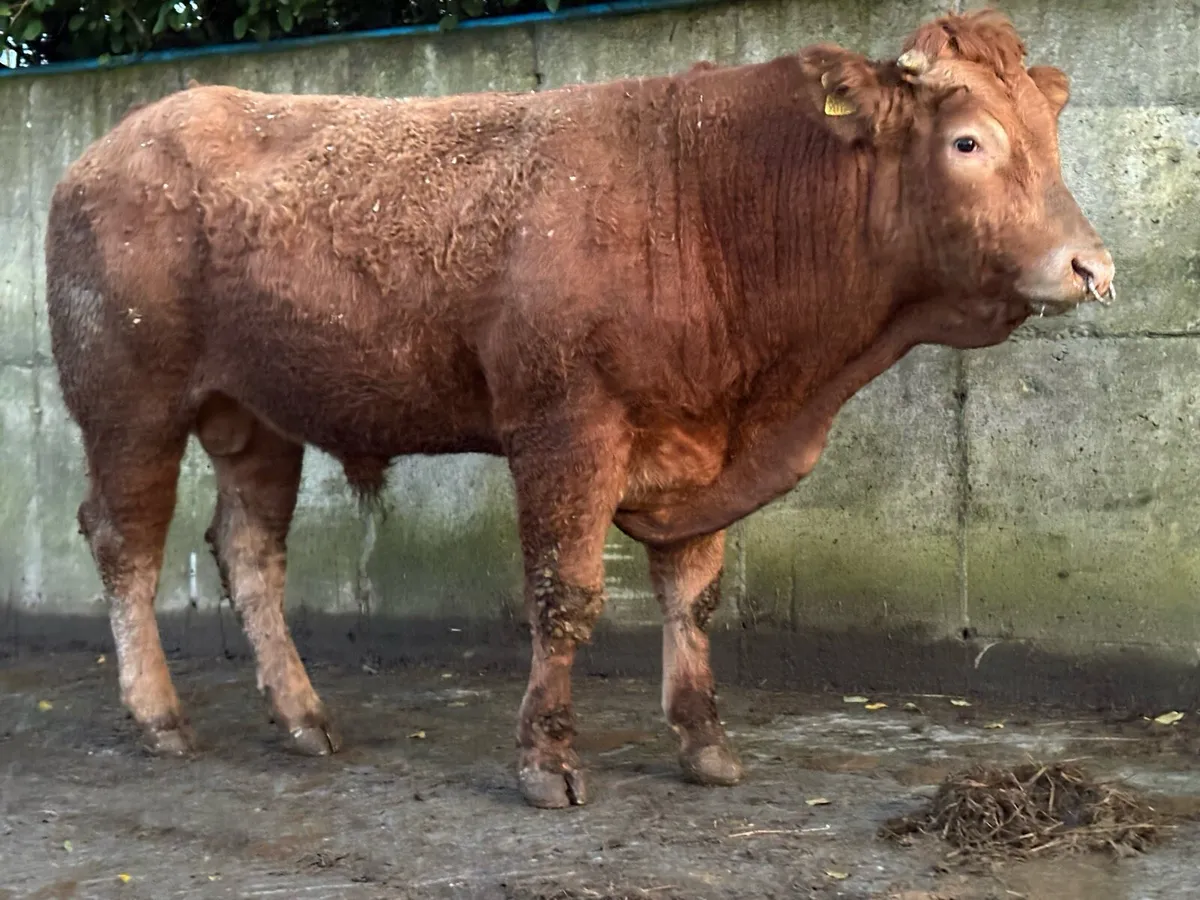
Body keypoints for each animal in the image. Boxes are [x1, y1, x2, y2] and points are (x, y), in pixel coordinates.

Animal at [45, 8, 1113, 809]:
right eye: (968, 140)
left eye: (1053, 137)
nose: (1091, 266)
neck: (710, 199)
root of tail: (108, 146)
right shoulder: (565, 429)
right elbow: (565, 595)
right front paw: (547, 758)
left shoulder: (698, 442)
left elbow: (693, 595)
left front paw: (703, 742)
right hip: (128, 404)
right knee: (125, 543)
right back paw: (160, 717)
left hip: (257, 416)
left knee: (248, 550)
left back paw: (305, 718)